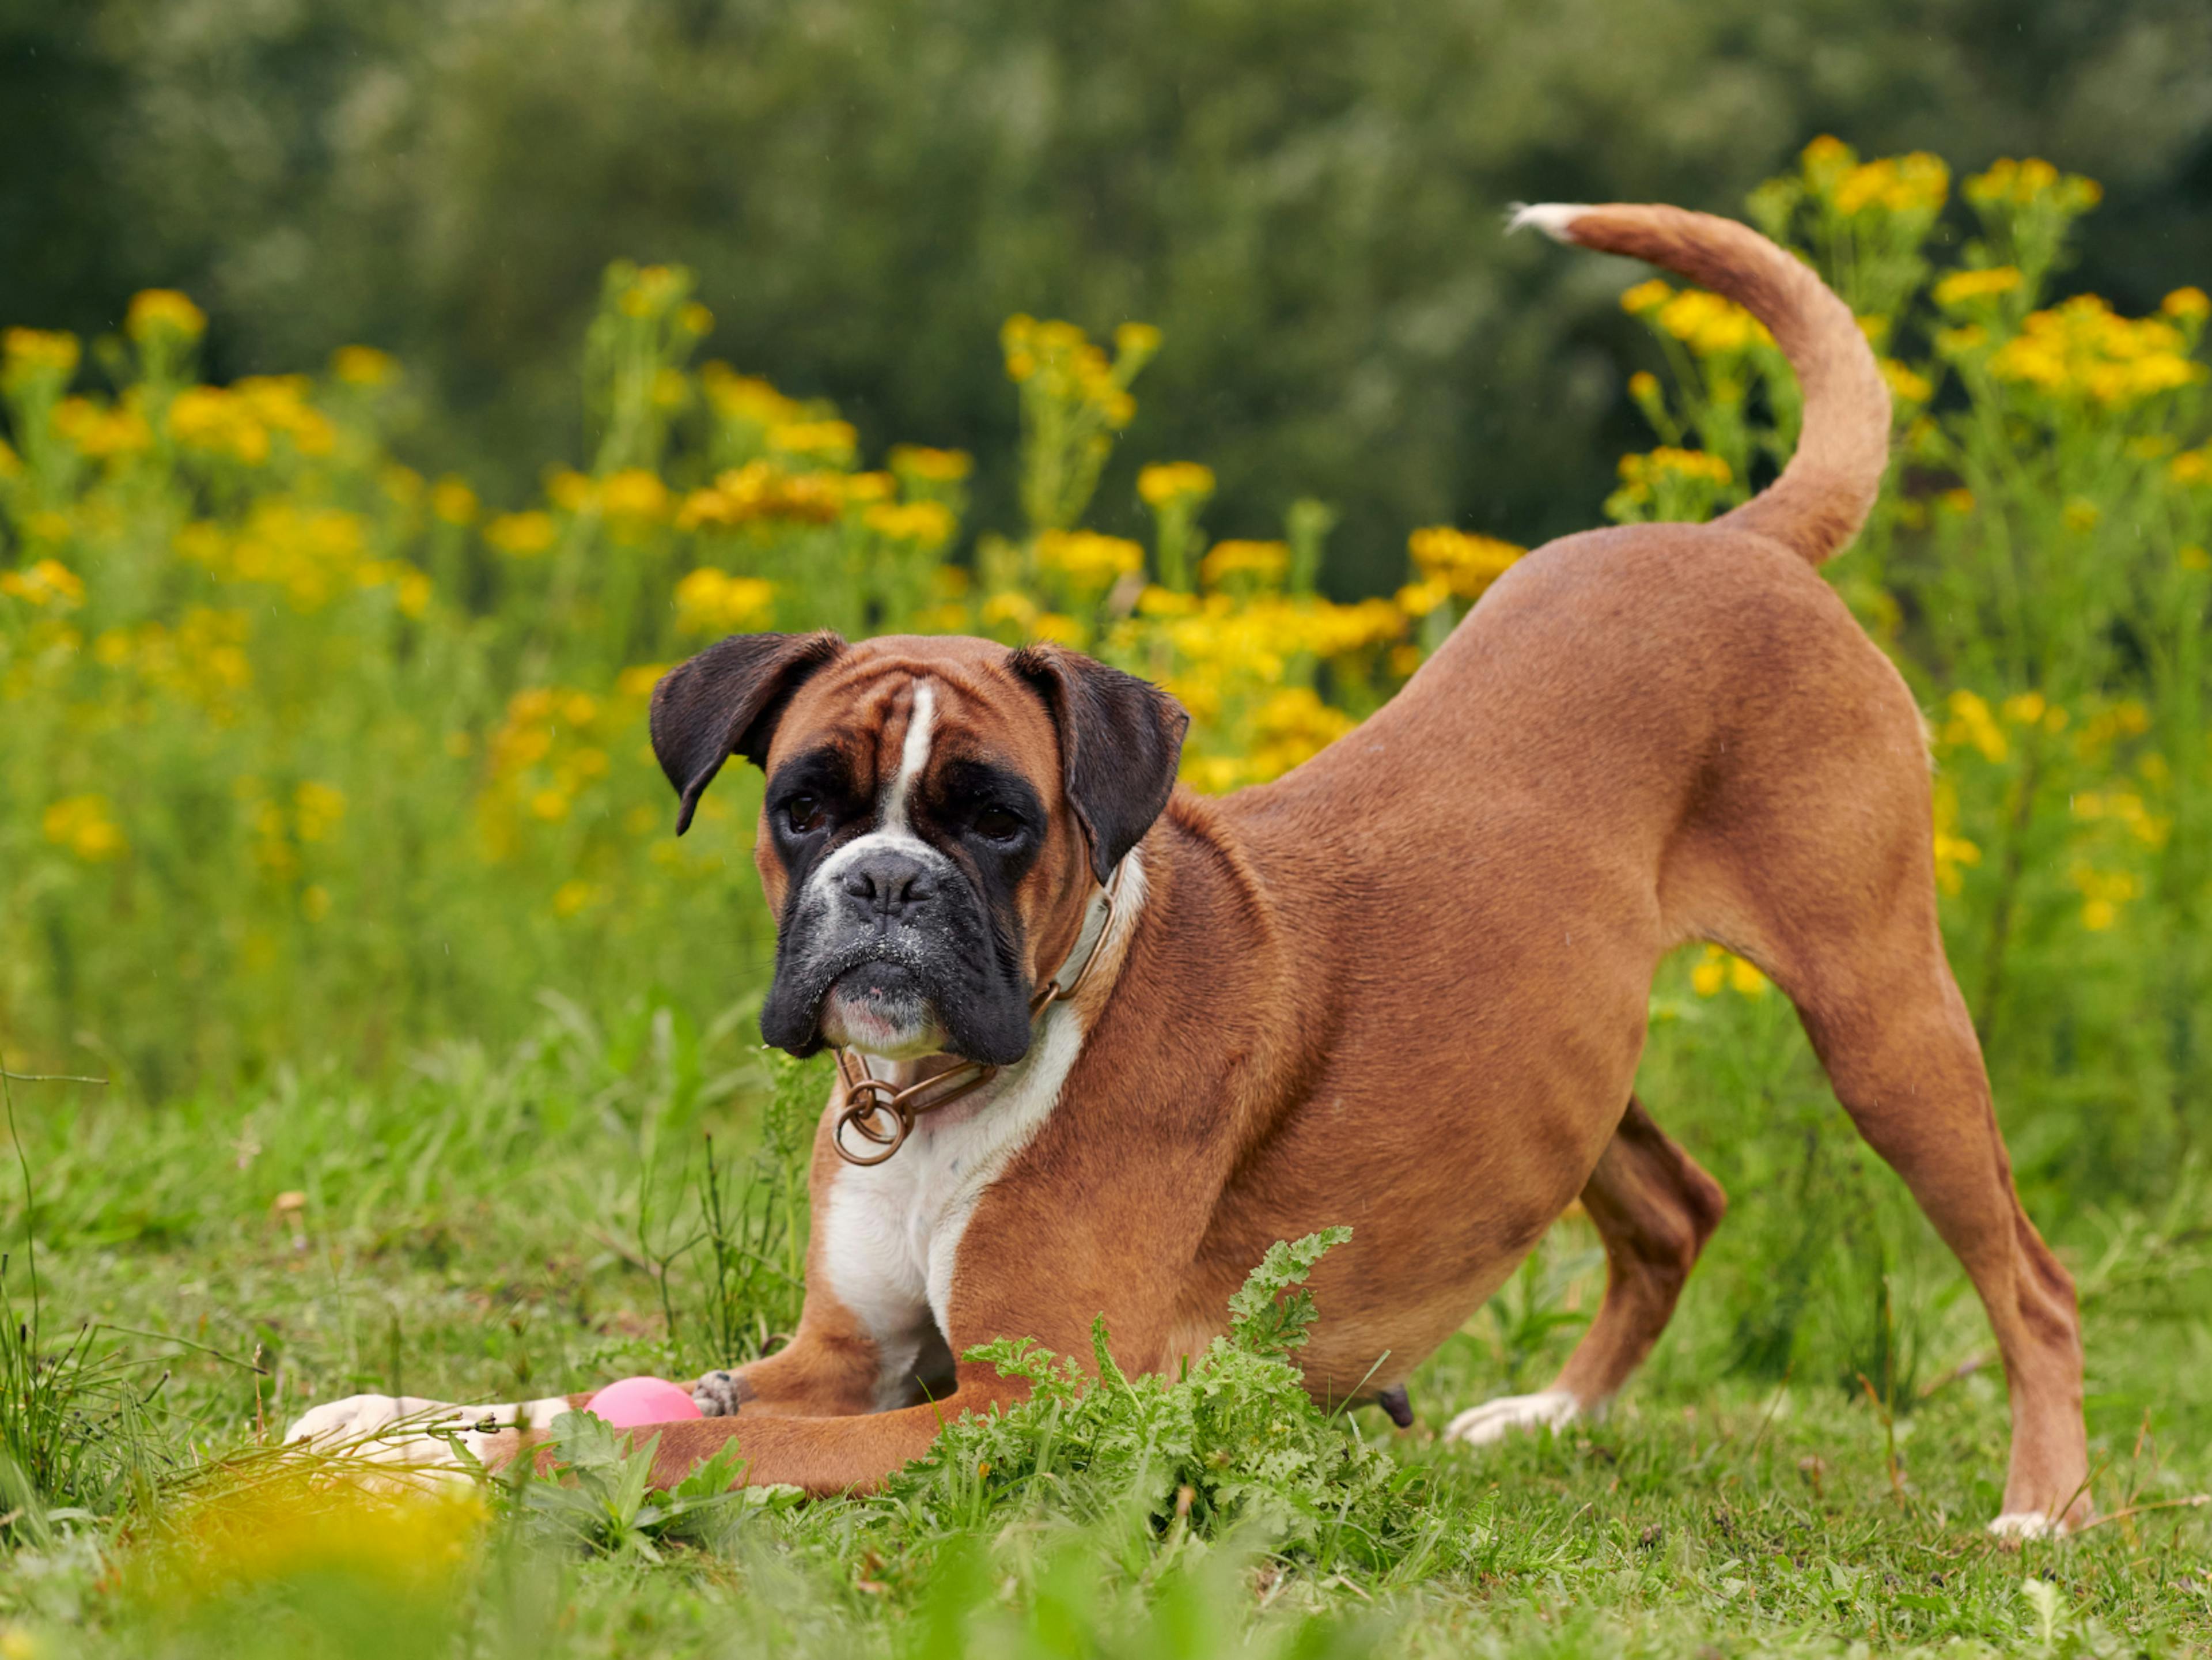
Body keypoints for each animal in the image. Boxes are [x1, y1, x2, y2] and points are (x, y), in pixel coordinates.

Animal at [290, 208, 2088, 1549]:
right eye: (805, 807)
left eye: (995, 819)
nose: (882, 886)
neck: (952, 1090)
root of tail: (1739, 539)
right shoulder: (842, 1354)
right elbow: (616, 1387)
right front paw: (389, 1421)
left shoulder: (1021, 1407)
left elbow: (669, 1443)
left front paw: (473, 1469)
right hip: (1570, 1058)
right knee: (1676, 1204)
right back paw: (1548, 1417)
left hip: (1881, 1014)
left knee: (2033, 1278)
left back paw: (2042, 1508)